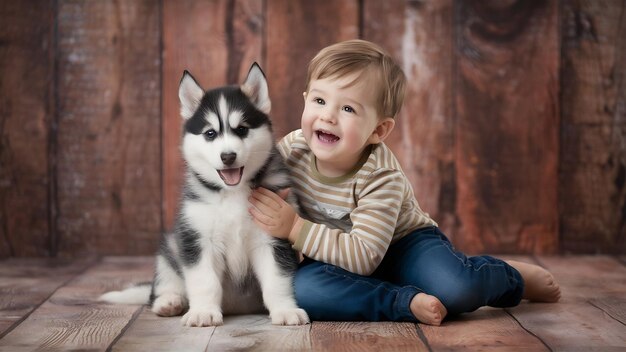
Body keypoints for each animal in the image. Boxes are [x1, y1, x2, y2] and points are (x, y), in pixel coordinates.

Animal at [98, 63, 308, 328]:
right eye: (210, 134)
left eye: (242, 130)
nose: (228, 156)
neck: (232, 193)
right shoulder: (198, 239)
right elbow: (204, 281)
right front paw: (203, 312)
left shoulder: (272, 235)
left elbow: (276, 280)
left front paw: (285, 310)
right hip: (171, 246)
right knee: (160, 286)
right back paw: (169, 301)